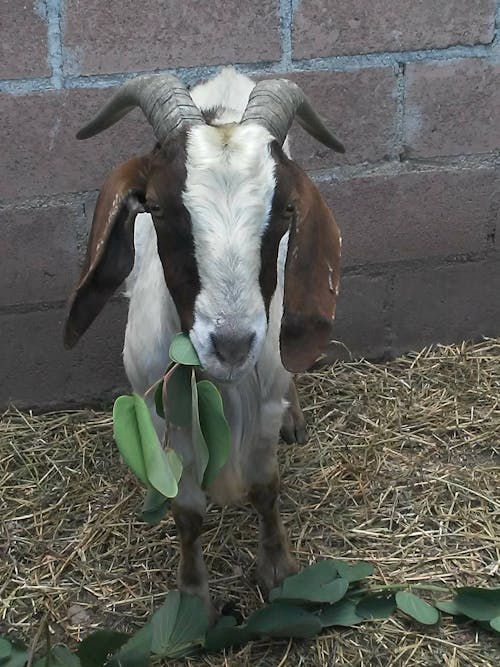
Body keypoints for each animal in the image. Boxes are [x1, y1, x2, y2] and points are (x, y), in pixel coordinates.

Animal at [64, 68, 344, 620]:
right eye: (157, 207)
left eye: (285, 211)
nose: (232, 344)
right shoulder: (162, 414)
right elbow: (188, 509)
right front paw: (192, 599)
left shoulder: (263, 401)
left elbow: (265, 486)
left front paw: (279, 571)